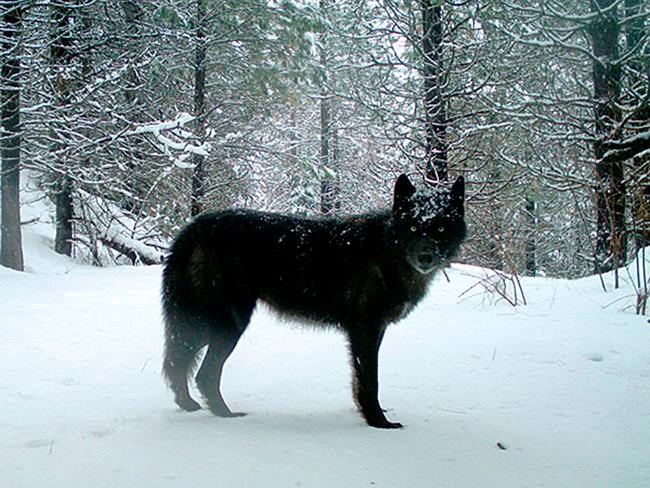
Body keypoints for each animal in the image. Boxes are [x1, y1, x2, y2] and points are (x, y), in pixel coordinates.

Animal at [162, 173, 466, 429]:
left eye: (440, 228)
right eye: (413, 226)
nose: (426, 256)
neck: (387, 251)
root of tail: (194, 227)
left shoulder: (373, 331)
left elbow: (359, 381)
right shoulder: (364, 330)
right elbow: (371, 381)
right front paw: (378, 422)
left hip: (206, 325)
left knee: (179, 361)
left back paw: (189, 405)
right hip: (227, 324)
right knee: (202, 372)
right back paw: (225, 414)